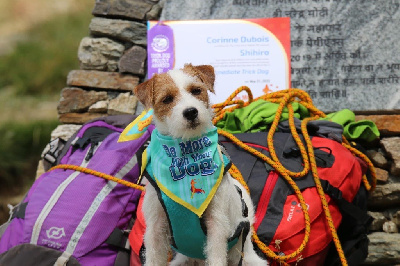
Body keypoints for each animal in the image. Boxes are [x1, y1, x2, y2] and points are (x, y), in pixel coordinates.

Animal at [134, 63, 268, 264]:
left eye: (196, 90)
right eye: (167, 99)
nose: (191, 112)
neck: (186, 154)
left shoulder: (216, 225)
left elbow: (216, 257)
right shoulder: (155, 228)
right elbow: (154, 258)